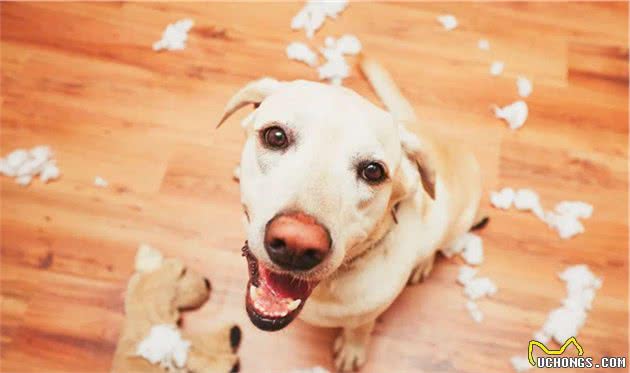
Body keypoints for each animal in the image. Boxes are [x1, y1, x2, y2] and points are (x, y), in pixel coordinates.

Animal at [217, 57, 484, 370]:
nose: (296, 244)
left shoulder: (368, 314)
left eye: (373, 171)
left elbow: (360, 329)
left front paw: (352, 348)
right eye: (276, 136)